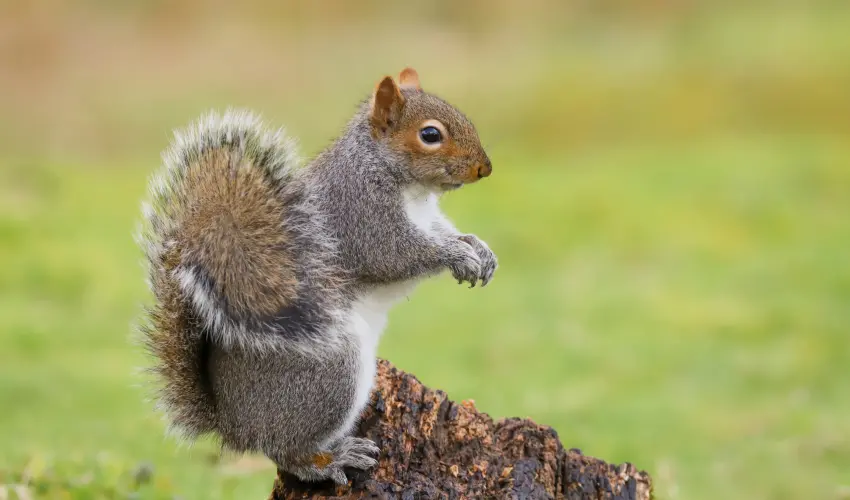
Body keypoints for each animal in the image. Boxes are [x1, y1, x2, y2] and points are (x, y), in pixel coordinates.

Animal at [136, 67, 497, 485]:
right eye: (430, 135)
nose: (485, 168)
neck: (408, 187)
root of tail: (233, 426)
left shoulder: (428, 219)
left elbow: (446, 232)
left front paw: (478, 249)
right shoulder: (361, 216)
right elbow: (394, 255)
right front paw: (456, 255)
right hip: (330, 371)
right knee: (286, 451)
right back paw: (331, 460)